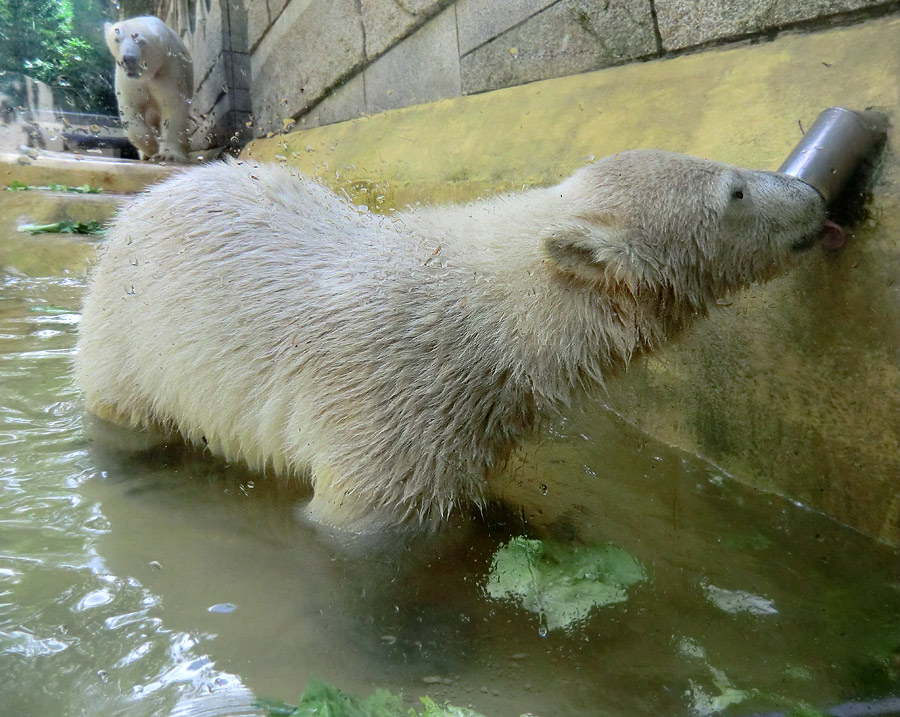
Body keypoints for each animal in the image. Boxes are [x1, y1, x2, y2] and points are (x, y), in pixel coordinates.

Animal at [74, 151, 832, 532]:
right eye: (734, 192)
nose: (818, 196)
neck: (489, 312)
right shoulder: (390, 408)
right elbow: (366, 518)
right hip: (127, 337)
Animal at [103, 15, 192, 162]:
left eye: (140, 41)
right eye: (117, 39)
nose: (128, 59)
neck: (147, 74)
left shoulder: (169, 70)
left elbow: (173, 108)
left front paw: (166, 155)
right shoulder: (128, 82)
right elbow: (130, 109)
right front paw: (151, 146)